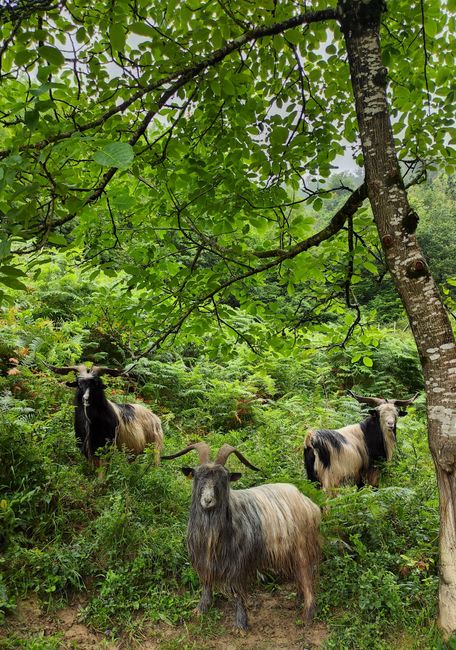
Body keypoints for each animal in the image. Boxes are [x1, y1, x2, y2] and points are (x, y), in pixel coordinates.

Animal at [162, 442, 320, 630]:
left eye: (224, 479)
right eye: (197, 476)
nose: (207, 500)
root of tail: (308, 502)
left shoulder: (237, 562)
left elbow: (237, 591)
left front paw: (240, 624)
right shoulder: (204, 558)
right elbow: (206, 582)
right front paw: (201, 609)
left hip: (302, 547)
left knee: (306, 576)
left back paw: (307, 615)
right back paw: (296, 603)